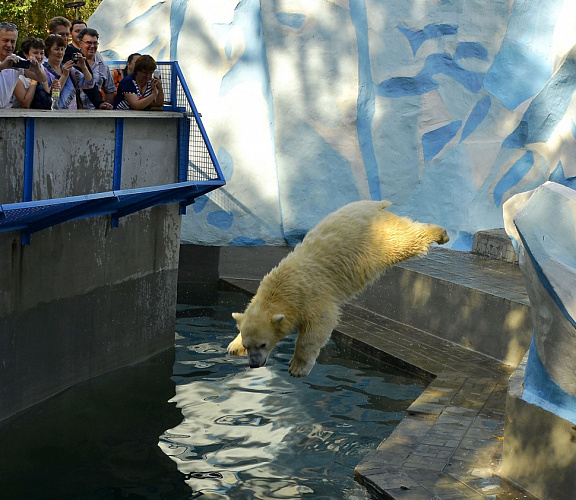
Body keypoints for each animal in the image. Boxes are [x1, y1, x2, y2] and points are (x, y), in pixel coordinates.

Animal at [228, 199, 450, 376]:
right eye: (248, 345)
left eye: (263, 344)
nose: (254, 364)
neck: (283, 288)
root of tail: (373, 204)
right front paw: (233, 346)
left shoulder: (312, 297)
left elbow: (318, 327)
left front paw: (297, 368)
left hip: (380, 239)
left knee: (405, 240)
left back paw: (441, 234)